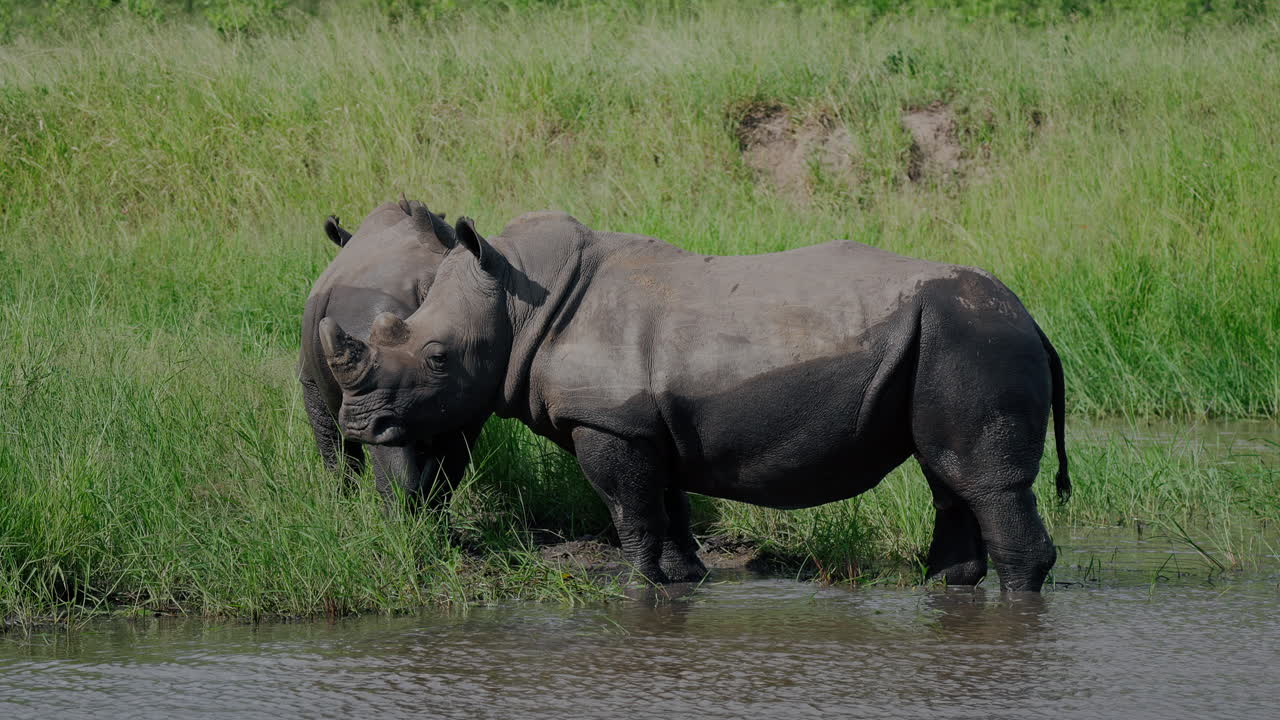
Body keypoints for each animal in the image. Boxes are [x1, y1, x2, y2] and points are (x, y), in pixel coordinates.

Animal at [318, 211, 1070, 590]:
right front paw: (683, 579)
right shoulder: (646, 423)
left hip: (975, 341)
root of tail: (1034, 320)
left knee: (984, 482)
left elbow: (630, 508)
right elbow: (667, 504)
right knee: (949, 474)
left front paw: (639, 586)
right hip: (952, 343)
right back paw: (946, 590)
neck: (516, 300)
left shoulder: (609, 423)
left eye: (437, 357)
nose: (360, 423)